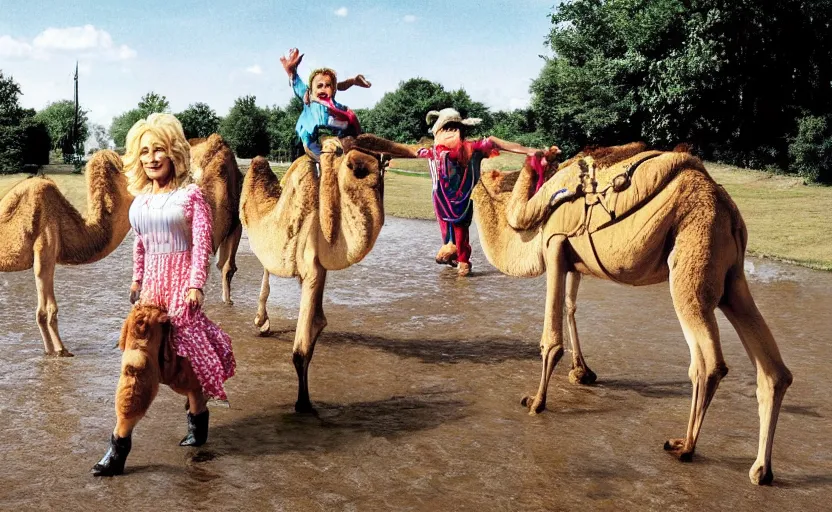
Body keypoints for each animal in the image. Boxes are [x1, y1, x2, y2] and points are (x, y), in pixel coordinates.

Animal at [241, 134, 419, 412]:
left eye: (381, 161)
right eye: (352, 165)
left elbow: (318, 323)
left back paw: (262, 323)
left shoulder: (319, 271)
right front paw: (303, 403)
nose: (362, 165)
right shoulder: (312, 267)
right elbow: (301, 348)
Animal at [470, 145, 792, 485]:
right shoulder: (574, 261)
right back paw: (761, 470)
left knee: (708, 363)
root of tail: (729, 211)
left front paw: (536, 402)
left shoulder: (554, 243)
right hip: (733, 277)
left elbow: (551, 337)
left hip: (693, 254)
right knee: (774, 370)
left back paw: (685, 447)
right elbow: (571, 306)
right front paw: (582, 372)